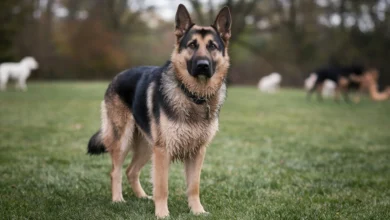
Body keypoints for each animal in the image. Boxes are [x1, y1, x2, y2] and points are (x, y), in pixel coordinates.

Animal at [87, 3, 230, 218]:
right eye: (192, 45)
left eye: (212, 46)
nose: (203, 65)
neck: (192, 95)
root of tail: (117, 76)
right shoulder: (163, 152)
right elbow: (162, 187)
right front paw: (162, 214)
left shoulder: (197, 152)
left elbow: (194, 186)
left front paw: (197, 211)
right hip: (124, 141)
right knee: (115, 172)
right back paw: (118, 199)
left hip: (147, 146)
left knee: (131, 171)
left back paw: (142, 197)